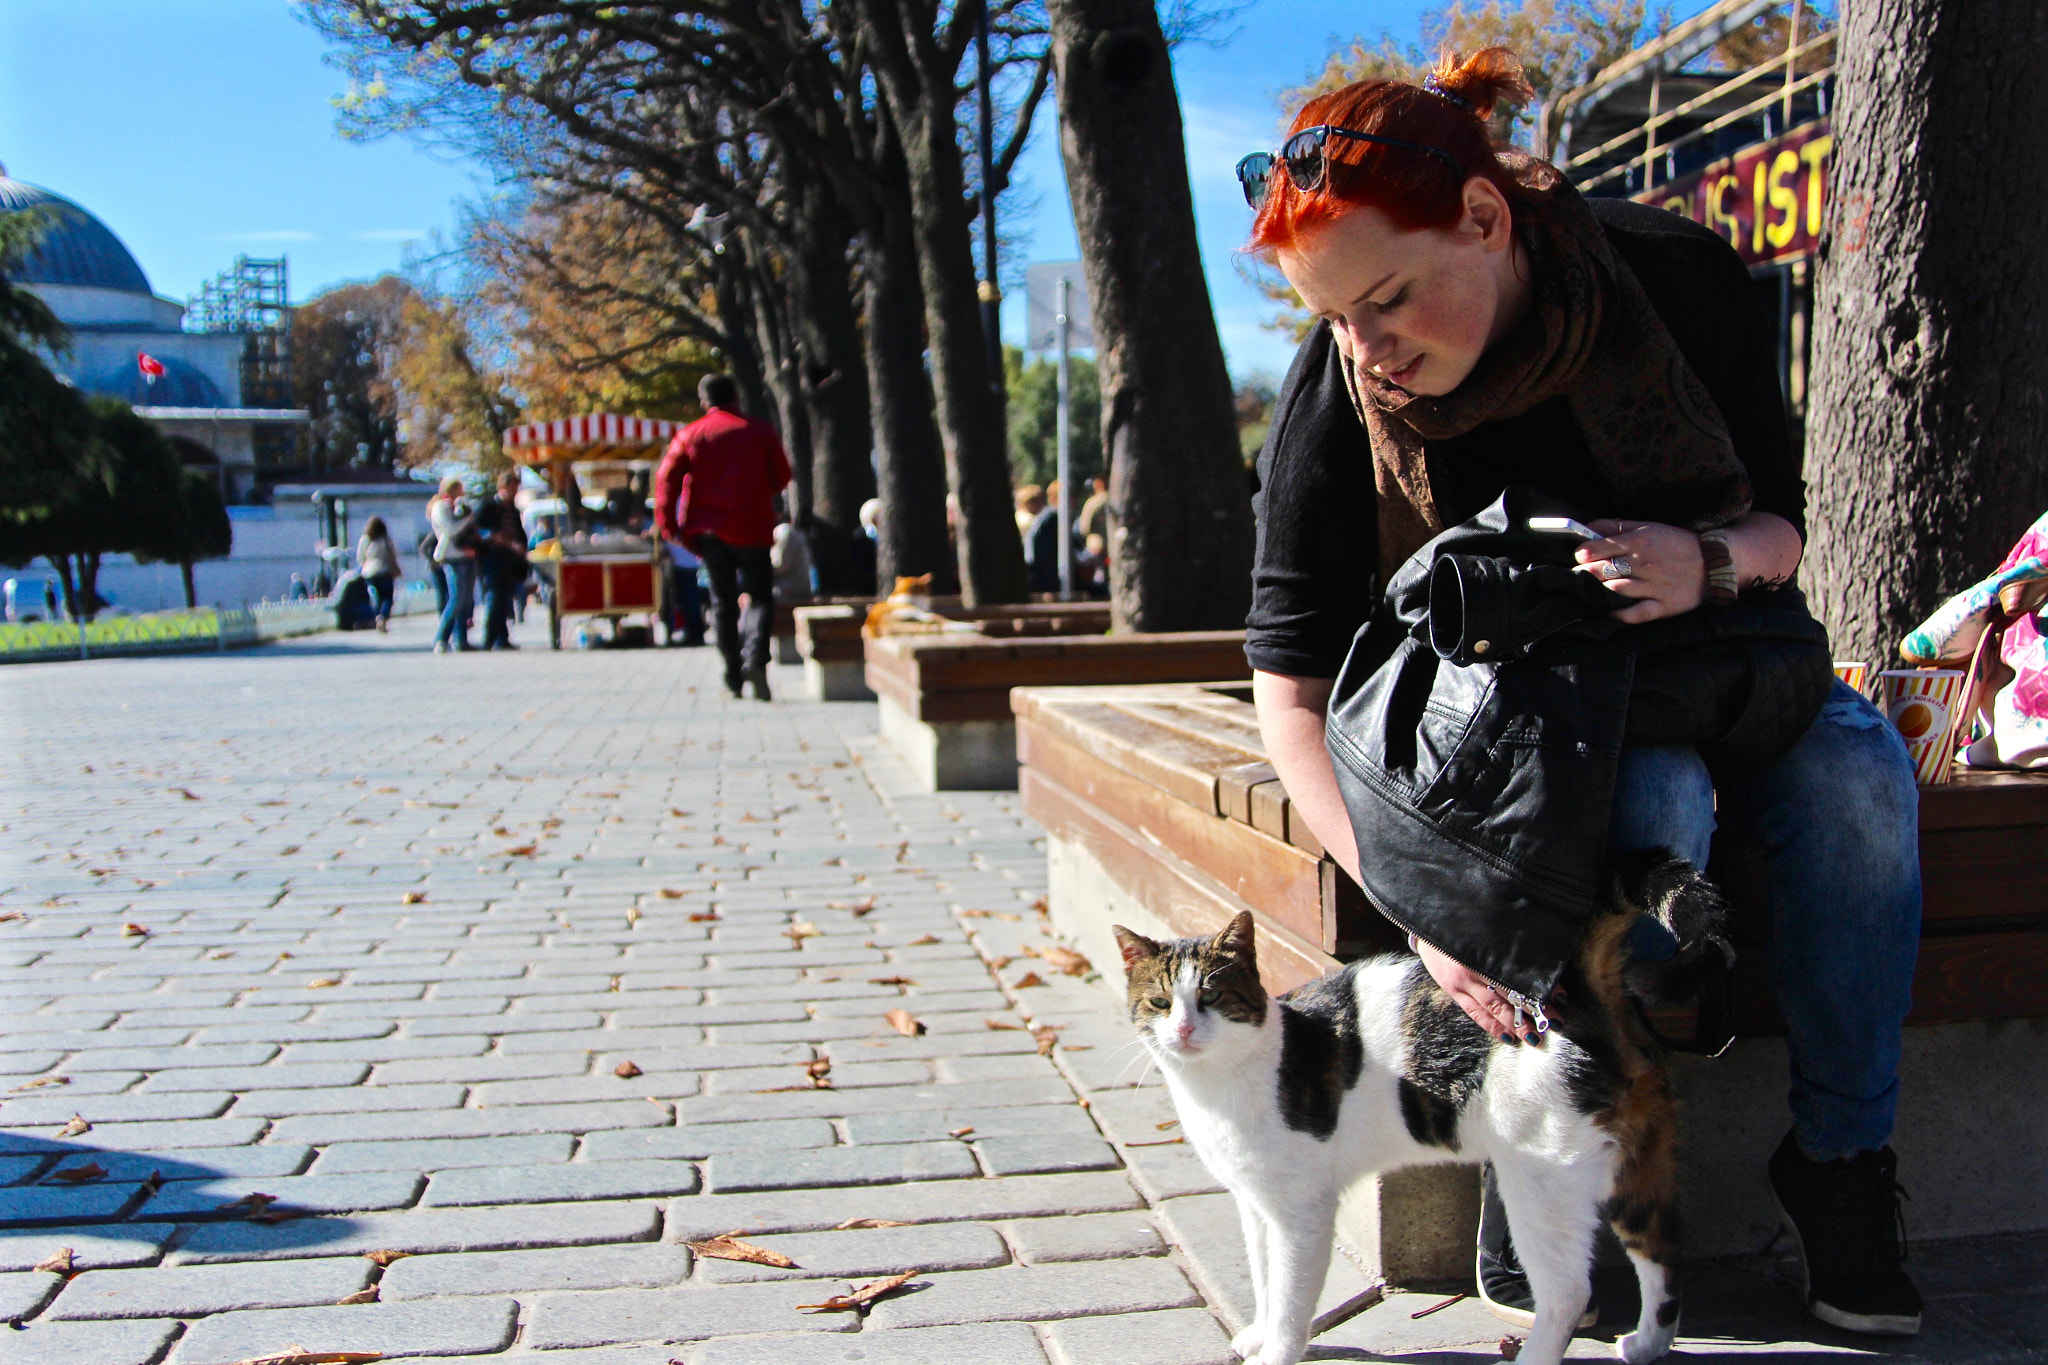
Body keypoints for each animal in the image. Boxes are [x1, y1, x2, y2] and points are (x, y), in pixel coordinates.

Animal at [1114, 855, 1720, 1365]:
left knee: (1569, 1291)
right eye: (1160, 1004)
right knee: (1663, 1254)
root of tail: (1581, 1001)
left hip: (1541, 1180)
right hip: (1632, 1166)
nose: (1184, 1029)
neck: (1219, 1083)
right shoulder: (1254, 1203)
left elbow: (1290, 1297)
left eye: (1211, 997)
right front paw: (1258, 1335)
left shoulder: (1300, 1210)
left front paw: (1277, 1352)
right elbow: (1264, 1280)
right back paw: (1647, 1344)